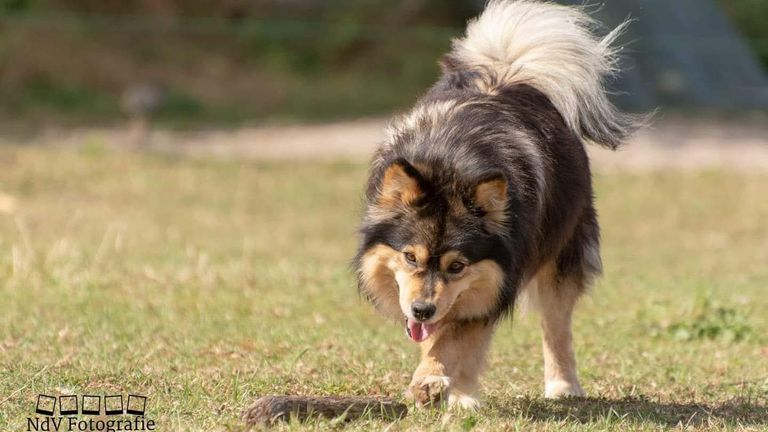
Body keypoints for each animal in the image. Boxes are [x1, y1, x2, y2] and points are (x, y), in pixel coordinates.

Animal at [352, 0, 636, 410]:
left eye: (457, 265)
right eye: (409, 257)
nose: (422, 309)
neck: (451, 165)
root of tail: (510, 71)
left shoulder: (496, 279)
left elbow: (457, 339)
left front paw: (432, 379)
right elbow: (442, 336)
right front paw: (436, 380)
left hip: (562, 255)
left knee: (555, 326)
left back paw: (559, 385)